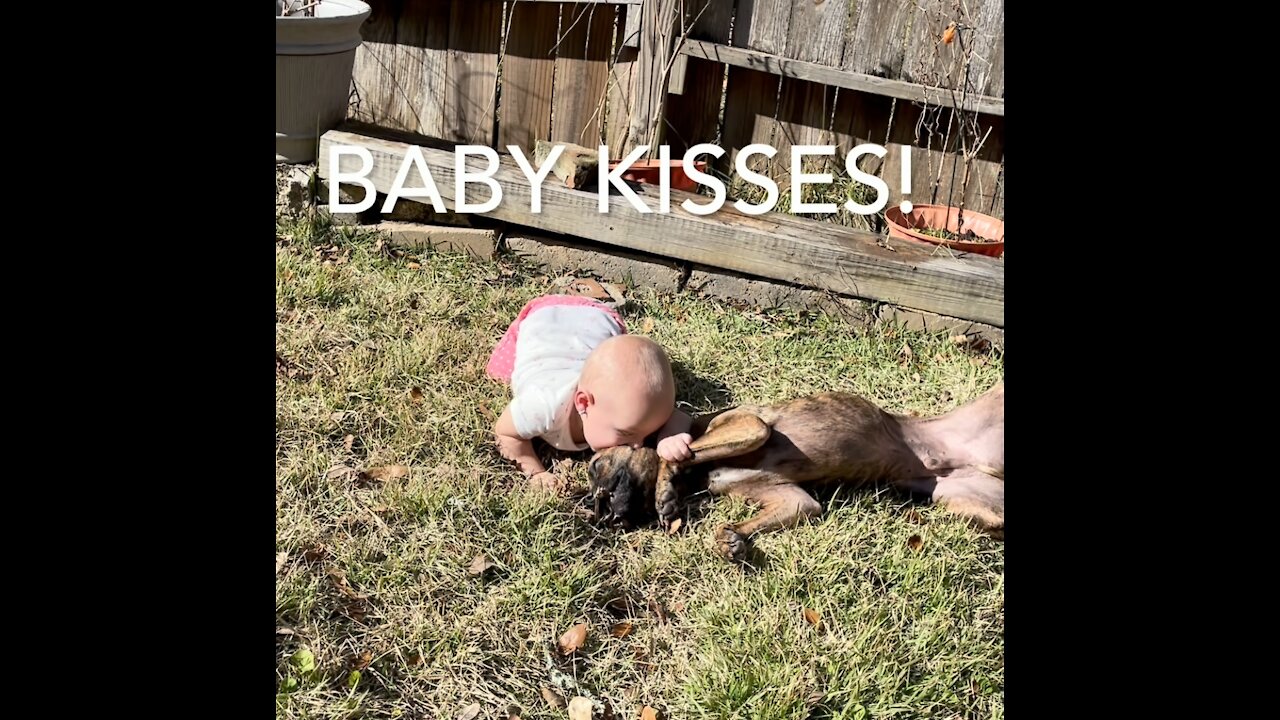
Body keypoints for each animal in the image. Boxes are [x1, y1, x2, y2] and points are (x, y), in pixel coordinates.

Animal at [586, 379, 1003, 558]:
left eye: (594, 465)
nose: (598, 511)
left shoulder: (750, 427)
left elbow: (672, 454)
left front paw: (667, 491)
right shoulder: (794, 500)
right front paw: (731, 539)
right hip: (972, 504)